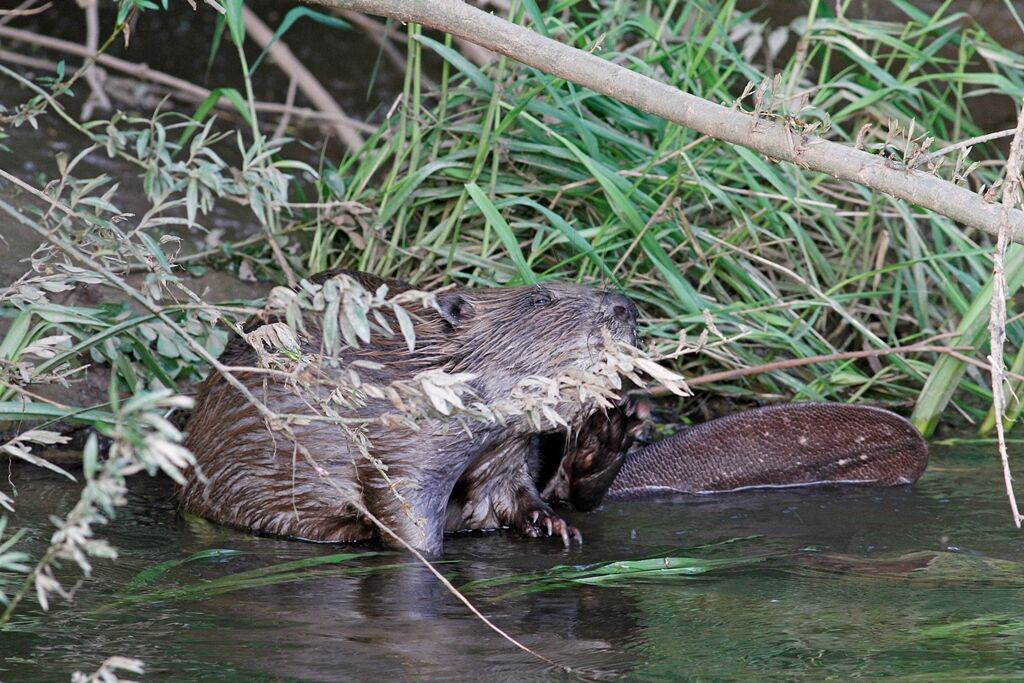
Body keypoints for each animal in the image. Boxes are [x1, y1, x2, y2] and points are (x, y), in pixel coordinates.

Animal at [178, 269, 638, 555]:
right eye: (541, 298)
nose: (627, 306)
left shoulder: (505, 448)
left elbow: (507, 493)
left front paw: (558, 527)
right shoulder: (400, 445)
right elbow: (401, 504)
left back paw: (613, 432)